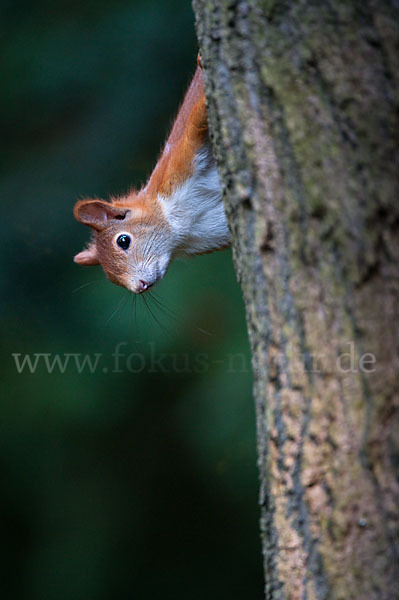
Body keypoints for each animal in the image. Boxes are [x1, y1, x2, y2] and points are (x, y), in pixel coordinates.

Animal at [73, 55, 230, 294]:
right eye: (111, 278)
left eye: (123, 241)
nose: (140, 287)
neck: (181, 227)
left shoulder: (179, 163)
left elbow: (197, 119)